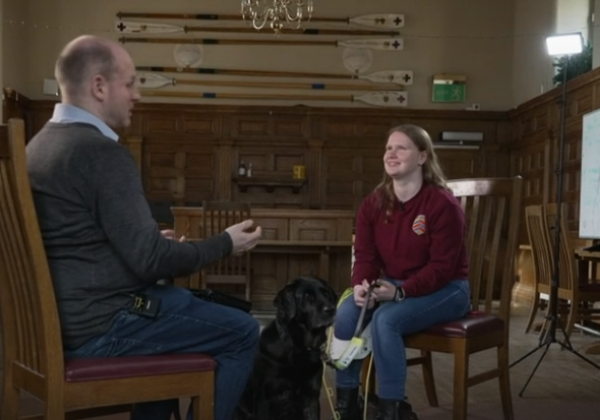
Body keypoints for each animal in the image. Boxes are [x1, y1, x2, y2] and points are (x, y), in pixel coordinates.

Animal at [234, 276, 338, 420]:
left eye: (327, 294)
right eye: (307, 295)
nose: (331, 310)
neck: (299, 349)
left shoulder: (311, 396)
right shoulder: (264, 399)